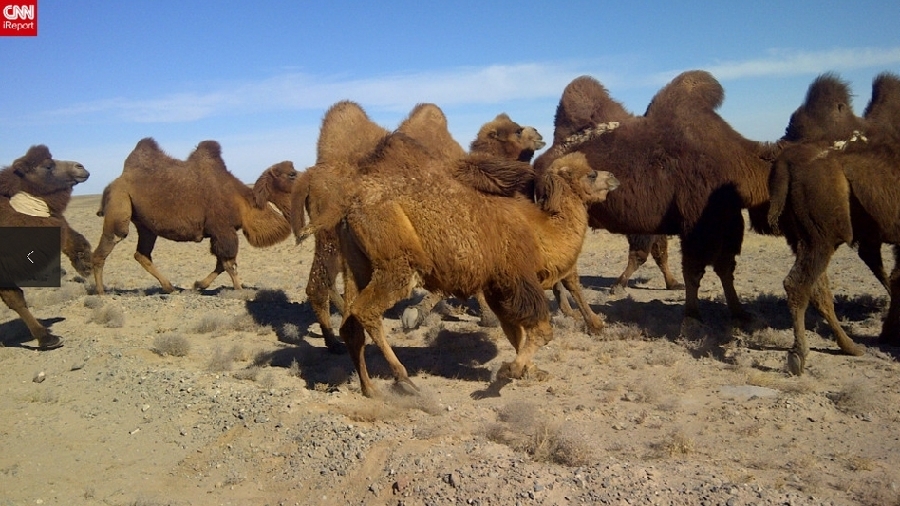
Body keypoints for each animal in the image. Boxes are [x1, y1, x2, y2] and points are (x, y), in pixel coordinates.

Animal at [94, 138, 296, 296]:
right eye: (291, 174)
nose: (301, 178)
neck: (243, 201)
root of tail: (112, 183)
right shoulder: (222, 229)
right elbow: (229, 263)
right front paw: (239, 290)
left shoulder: (219, 233)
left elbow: (221, 263)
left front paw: (199, 285)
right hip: (120, 202)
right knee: (108, 244)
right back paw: (101, 292)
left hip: (146, 226)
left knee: (142, 254)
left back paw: (169, 287)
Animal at [306, 123, 616, 396]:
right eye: (590, 175)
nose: (613, 178)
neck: (542, 232)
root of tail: (350, 210)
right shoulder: (518, 278)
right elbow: (540, 330)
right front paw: (510, 371)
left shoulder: (496, 288)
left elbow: (514, 331)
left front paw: (532, 370)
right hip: (397, 265)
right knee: (366, 311)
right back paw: (404, 380)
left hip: (360, 267)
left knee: (350, 324)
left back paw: (369, 388)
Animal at [768, 71, 900, 374]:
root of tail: (785, 165)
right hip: (824, 235)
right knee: (799, 284)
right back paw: (798, 356)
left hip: (803, 236)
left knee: (819, 288)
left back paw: (851, 347)